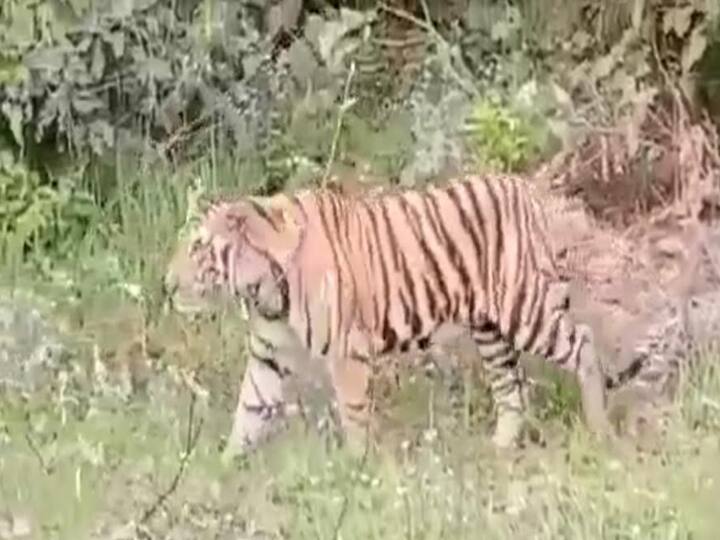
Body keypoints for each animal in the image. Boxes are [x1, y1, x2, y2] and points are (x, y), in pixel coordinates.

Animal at [162, 173, 616, 457]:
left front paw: (355, 468)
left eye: (198, 248)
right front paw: (224, 464)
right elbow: (248, 410)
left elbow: (352, 413)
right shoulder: (268, 355)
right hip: (490, 329)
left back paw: (599, 429)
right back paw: (501, 446)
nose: (165, 284)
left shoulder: (347, 351)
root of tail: (526, 189)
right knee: (510, 386)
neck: (263, 291)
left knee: (584, 343)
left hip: (524, 309)